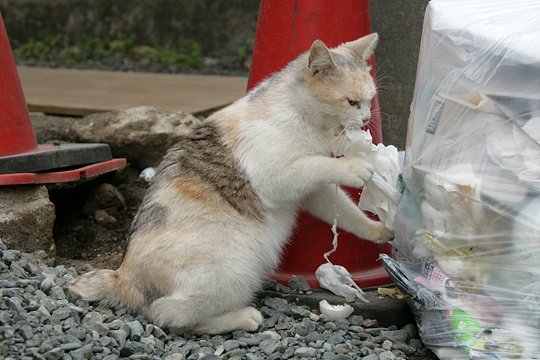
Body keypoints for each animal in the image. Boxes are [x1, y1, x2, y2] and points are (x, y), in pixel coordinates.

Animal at [67, 33, 392, 334]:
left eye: (369, 100)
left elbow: (344, 208)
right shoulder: (279, 176)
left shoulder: (311, 191)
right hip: (235, 268)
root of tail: (122, 275)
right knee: (166, 314)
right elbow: (321, 164)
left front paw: (378, 230)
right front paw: (355, 167)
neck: (304, 117)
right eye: (352, 102)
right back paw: (244, 317)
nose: (366, 119)